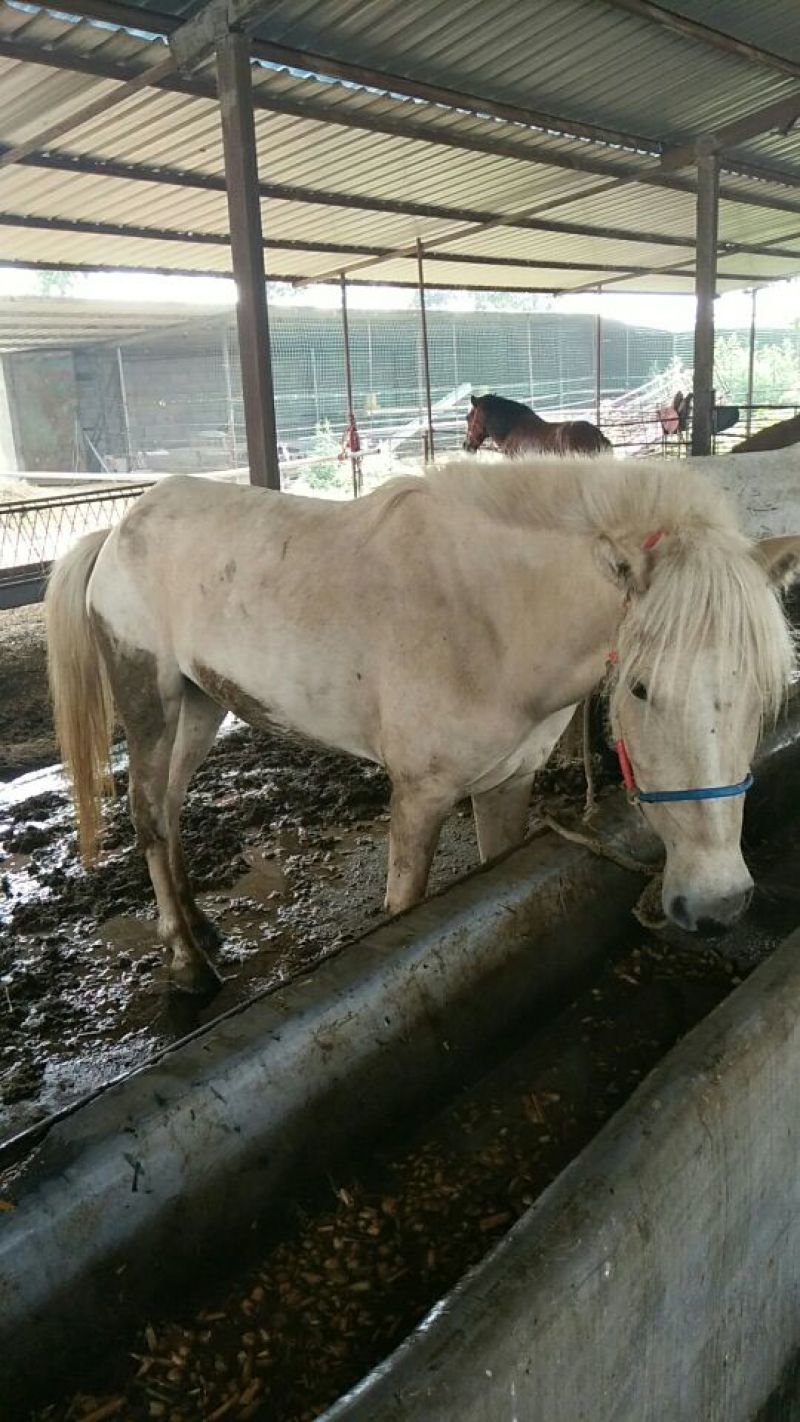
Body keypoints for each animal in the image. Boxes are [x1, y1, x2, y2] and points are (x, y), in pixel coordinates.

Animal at [45, 460, 797, 994]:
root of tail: (118, 530)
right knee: (148, 813)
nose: (720, 905)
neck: (491, 621)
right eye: (641, 688)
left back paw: (201, 929)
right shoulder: (419, 797)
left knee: (172, 807)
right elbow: (405, 910)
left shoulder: (506, 785)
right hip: (150, 701)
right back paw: (187, 962)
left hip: (202, 703)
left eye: (764, 697)